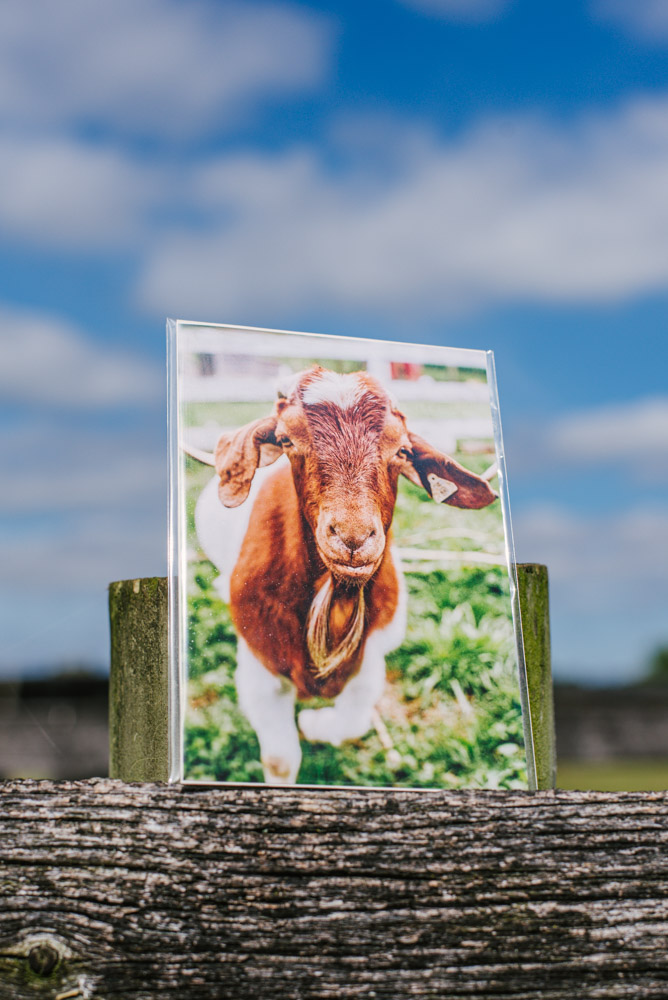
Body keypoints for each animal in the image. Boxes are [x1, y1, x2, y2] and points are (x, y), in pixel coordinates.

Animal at [191, 366, 496, 784]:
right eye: (285, 440)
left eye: (402, 451)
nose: (353, 536)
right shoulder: (258, 667)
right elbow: (280, 759)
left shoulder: (372, 660)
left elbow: (354, 723)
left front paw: (315, 726)